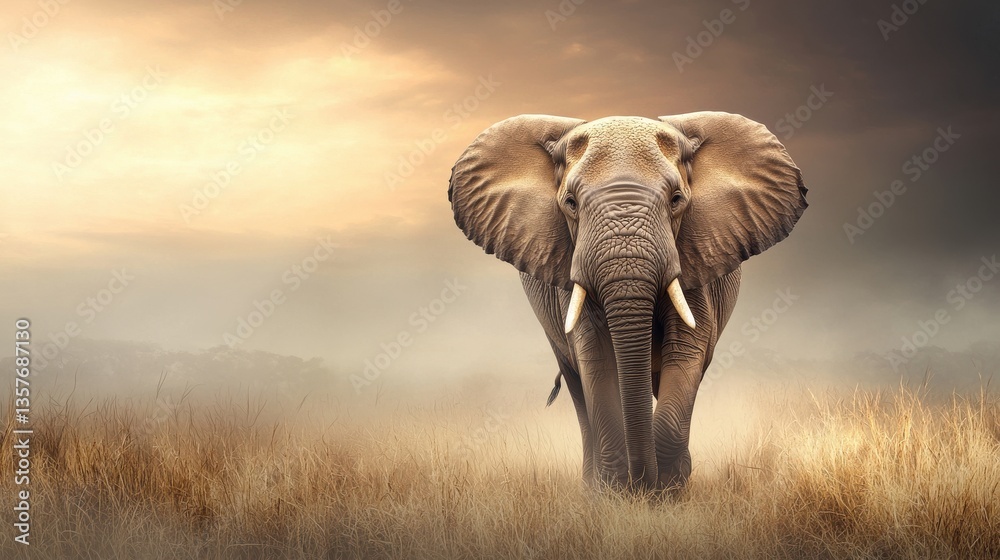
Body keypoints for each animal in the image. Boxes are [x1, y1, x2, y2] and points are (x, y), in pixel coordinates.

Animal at [447, 112, 807, 493]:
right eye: (570, 203)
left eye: (676, 199)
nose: (642, 482)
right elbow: (597, 357)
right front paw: (616, 492)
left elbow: (685, 349)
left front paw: (666, 491)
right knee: (577, 384)